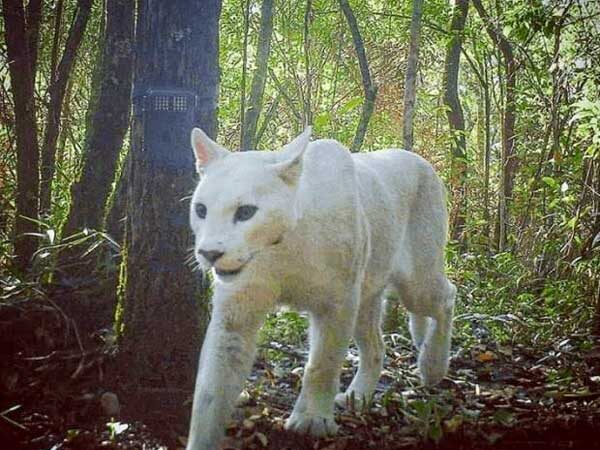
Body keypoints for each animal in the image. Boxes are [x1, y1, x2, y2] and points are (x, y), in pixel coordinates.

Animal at [186, 127, 454, 450]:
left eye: (246, 211)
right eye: (201, 210)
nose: (209, 253)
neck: (282, 246)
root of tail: (420, 160)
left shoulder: (337, 303)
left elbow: (323, 362)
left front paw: (312, 420)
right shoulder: (234, 316)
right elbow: (211, 387)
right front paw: (201, 439)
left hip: (416, 282)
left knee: (447, 297)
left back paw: (432, 364)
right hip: (366, 297)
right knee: (377, 346)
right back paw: (358, 397)